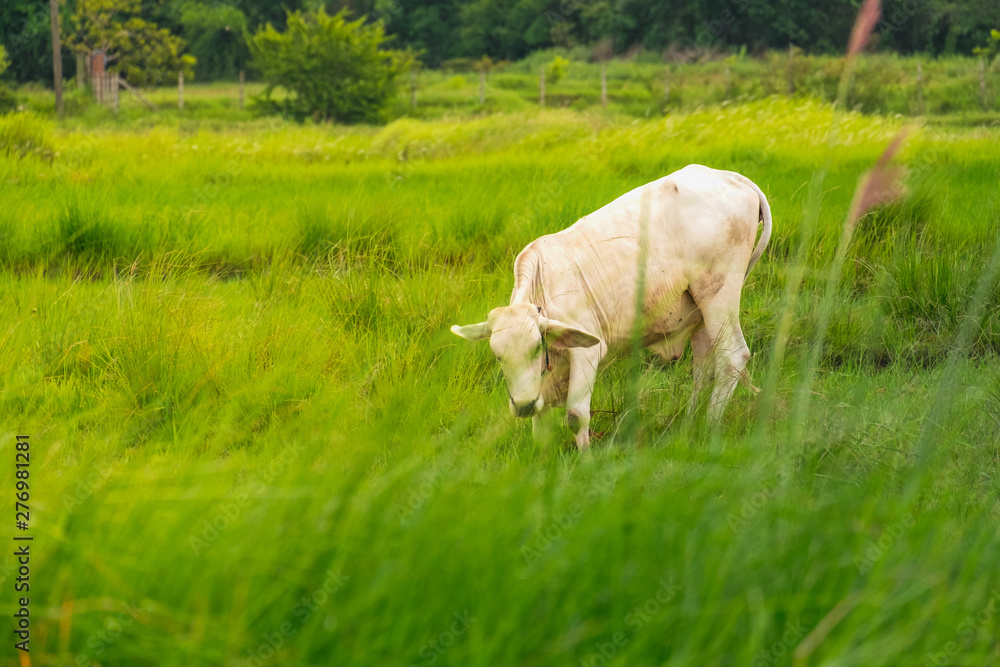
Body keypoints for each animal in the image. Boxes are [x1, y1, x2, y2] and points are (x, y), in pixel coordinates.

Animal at [451, 164, 772, 449]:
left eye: (535, 348)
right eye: (498, 356)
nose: (522, 405)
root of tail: (730, 176)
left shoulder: (588, 352)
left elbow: (576, 416)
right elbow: (540, 430)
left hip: (719, 293)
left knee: (732, 357)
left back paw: (710, 426)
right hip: (700, 312)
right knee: (703, 369)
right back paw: (690, 426)